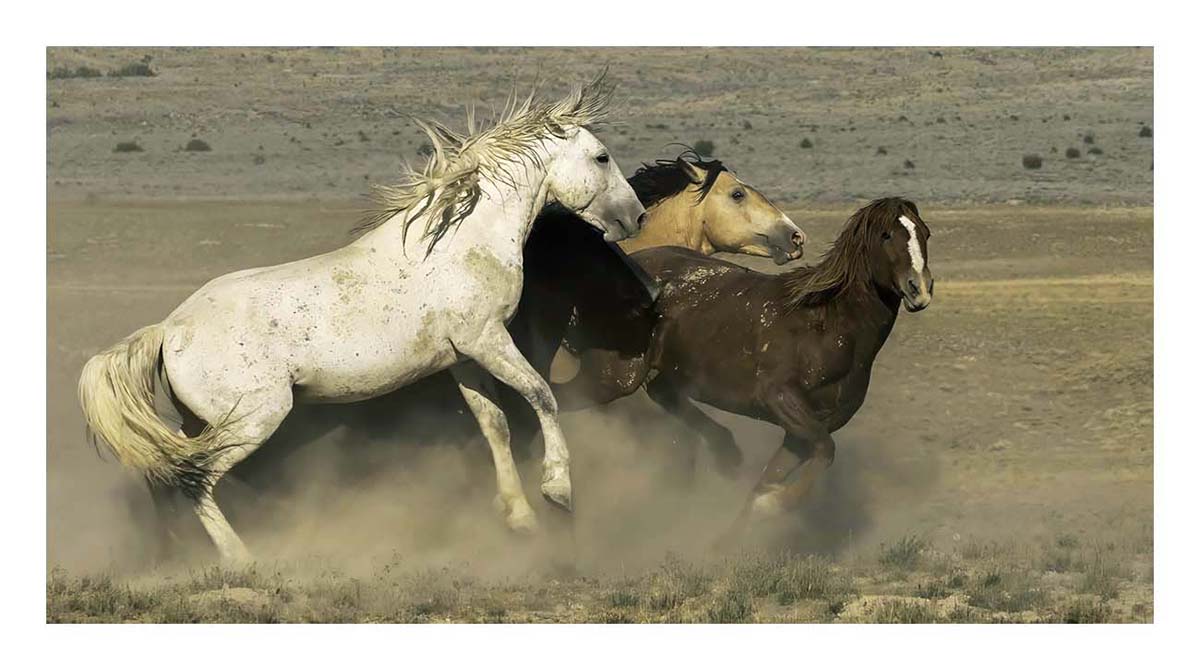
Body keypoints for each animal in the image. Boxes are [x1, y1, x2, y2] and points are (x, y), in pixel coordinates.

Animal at [77, 76, 647, 563]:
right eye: (602, 156)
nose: (635, 216)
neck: (461, 238)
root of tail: (168, 330)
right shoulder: (487, 340)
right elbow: (541, 397)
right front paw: (557, 491)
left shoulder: (463, 358)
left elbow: (495, 425)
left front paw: (518, 515)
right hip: (256, 418)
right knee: (198, 479)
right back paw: (243, 558)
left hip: (203, 423)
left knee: (172, 476)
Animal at [551, 197, 934, 535]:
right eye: (886, 235)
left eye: (925, 233)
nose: (920, 290)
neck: (828, 324)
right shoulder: (781, 399)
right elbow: (826, 451)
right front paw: (774, 504)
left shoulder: (801, 431)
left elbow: (774, 477)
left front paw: (728, 541)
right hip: (614, 377)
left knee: (662, 394)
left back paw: (726, 451)